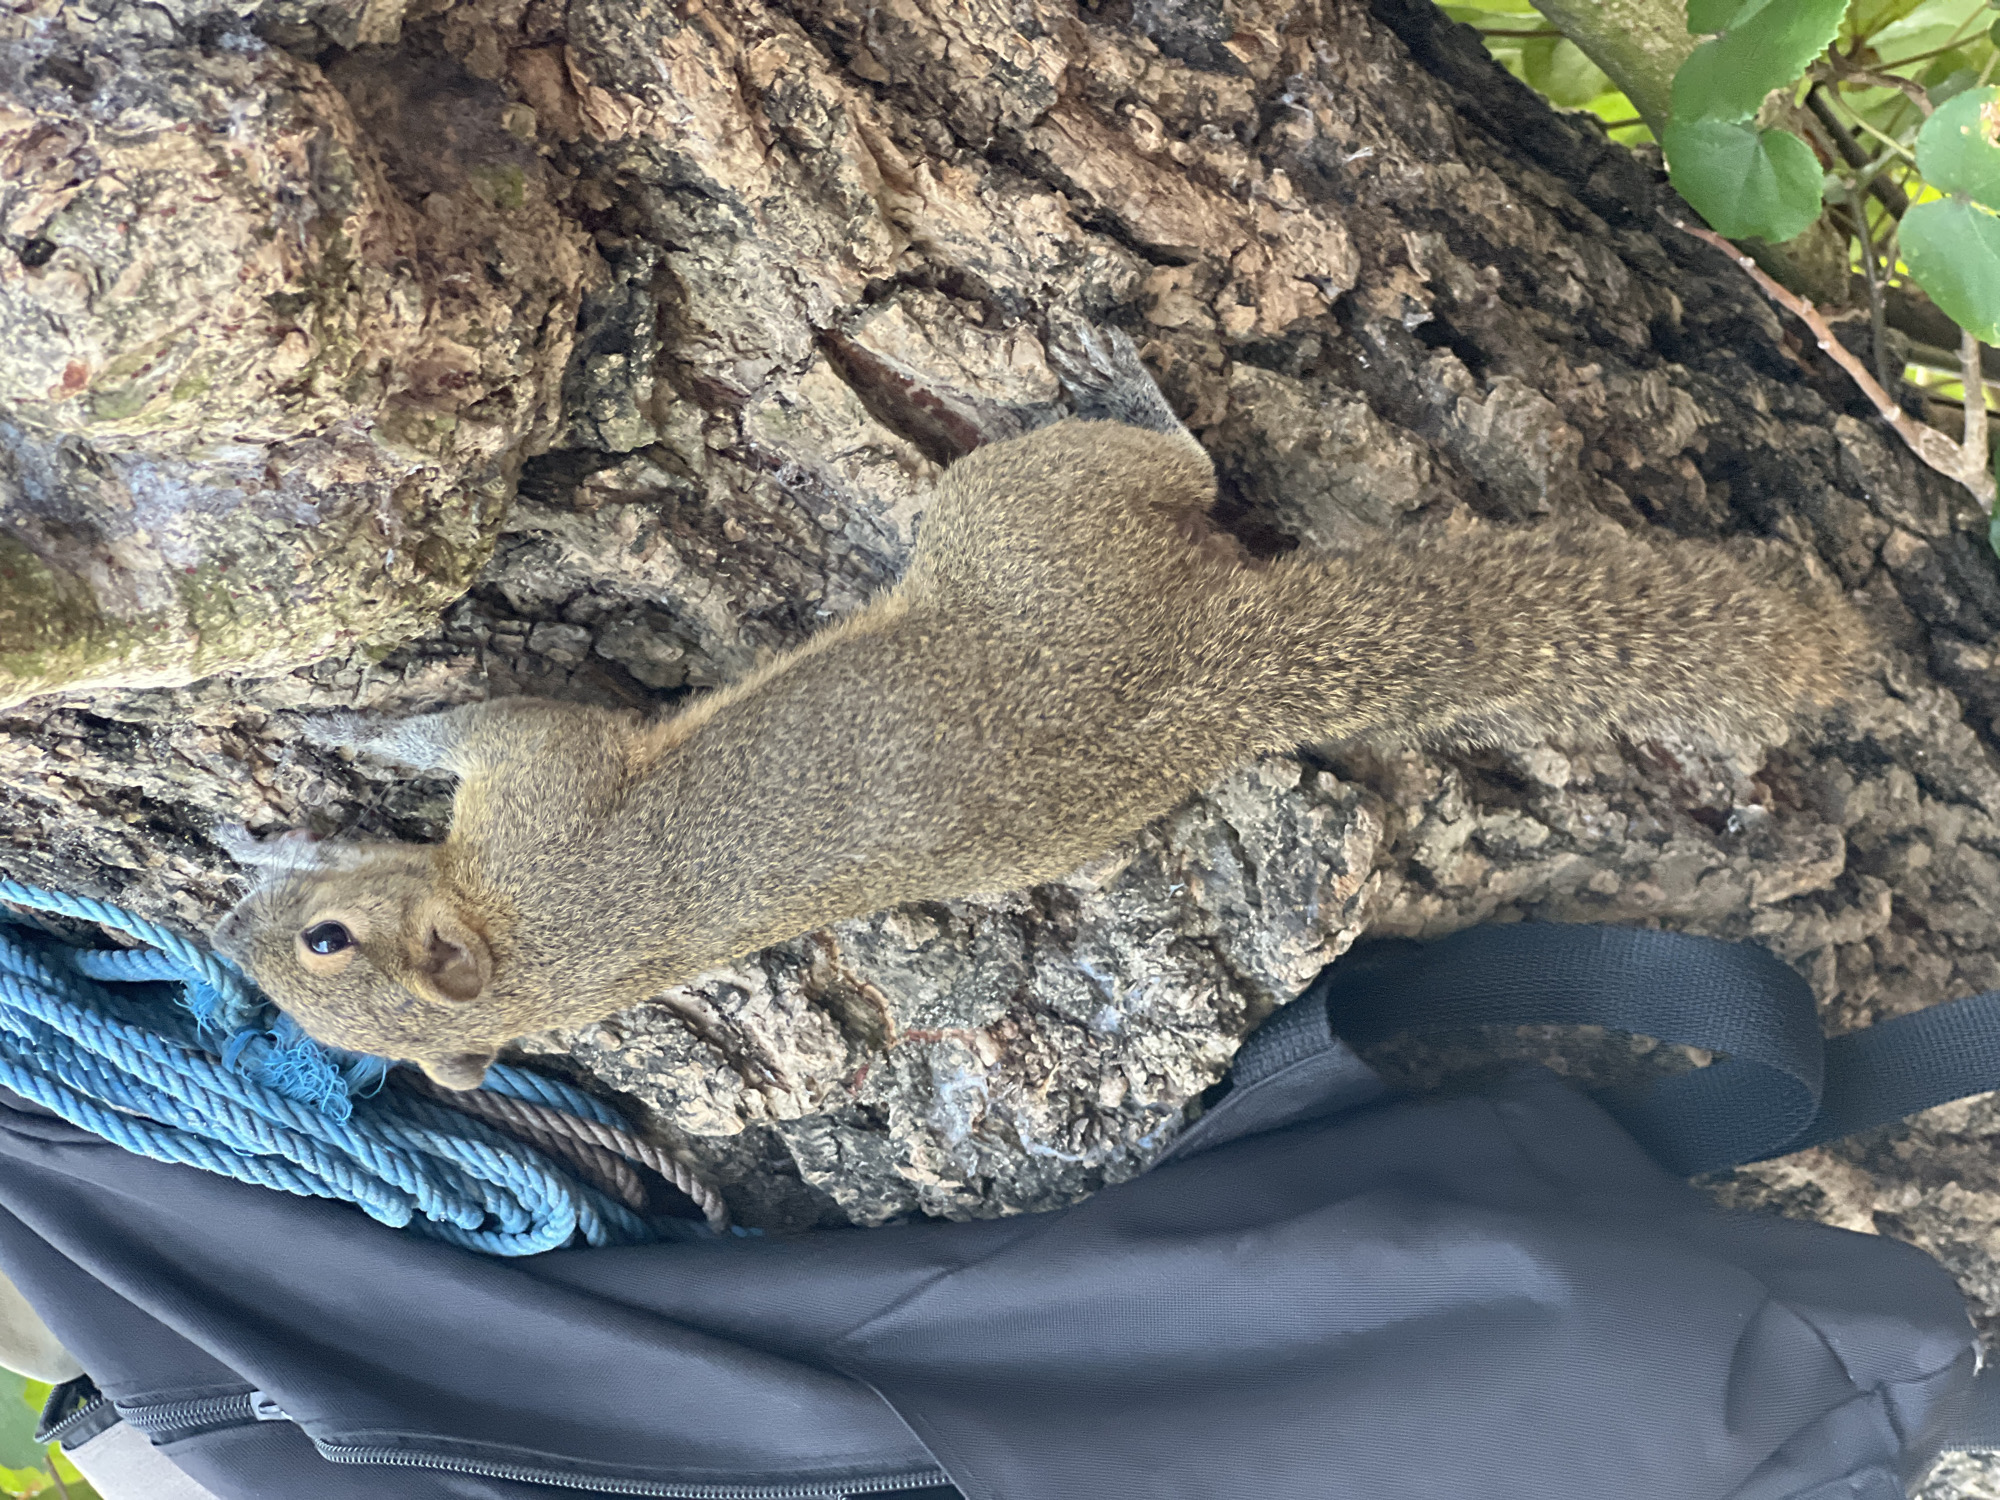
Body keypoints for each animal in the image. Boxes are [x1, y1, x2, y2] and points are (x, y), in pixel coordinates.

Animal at [212, 330, 1860, 1089]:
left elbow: (482, 726)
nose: (227, 938)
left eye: (327, 945)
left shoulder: (545, 788)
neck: (524, 952)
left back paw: (1125, 364)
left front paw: (330, 754)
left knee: (1175, 458)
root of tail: (1213, 658)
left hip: (1017, 514)